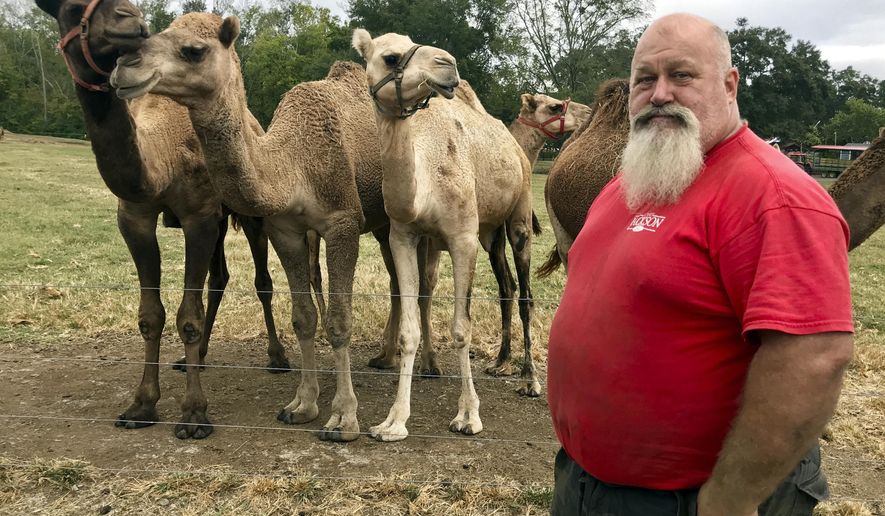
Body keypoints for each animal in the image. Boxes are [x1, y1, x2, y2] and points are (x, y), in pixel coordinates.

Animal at [110, 13, 422, 442]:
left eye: (193, 50)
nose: (124, 67)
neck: (293, 163)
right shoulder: (284, 230)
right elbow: (304, 317)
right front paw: (303, 404)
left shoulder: (342, 223)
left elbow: (339, 320)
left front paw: (343, 418)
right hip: (380, 225)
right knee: (395, 281)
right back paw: (384, 356)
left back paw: (423, 366)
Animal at [353, 29, 536, 441]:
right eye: (390, 57)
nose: (447, 64)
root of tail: (515, 146)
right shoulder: (403, 237)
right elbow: (409, 328)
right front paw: (393, 421)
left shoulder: (462, 238)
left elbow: (461, 328)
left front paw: (468, 415)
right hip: (489, 232)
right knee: (506, 285)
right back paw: (501, 365)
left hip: (519, 212)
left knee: (525, 293)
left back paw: (530, 380)